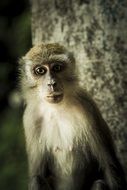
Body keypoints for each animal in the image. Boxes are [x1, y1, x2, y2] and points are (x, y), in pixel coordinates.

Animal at [18, 43, 126, 190]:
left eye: (57, 68)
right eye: (40, 70)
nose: (51, 83)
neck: (56, 109)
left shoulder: (87, 107)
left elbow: (108, 165)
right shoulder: (30, 117)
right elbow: (37, 173)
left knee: (99, 183)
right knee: (37, 180)